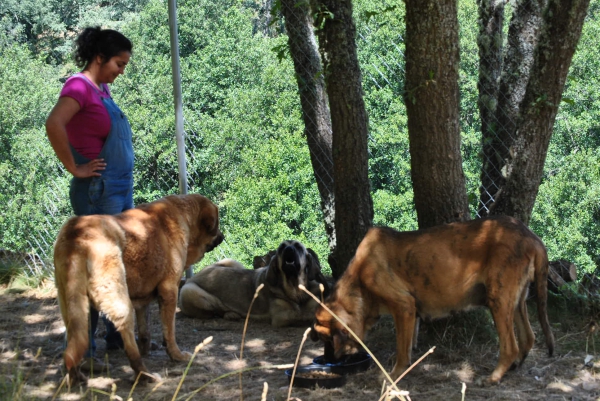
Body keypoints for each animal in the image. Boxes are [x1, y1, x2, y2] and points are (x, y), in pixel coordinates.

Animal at [53, 194, 223, 382]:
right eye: (217, 224)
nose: (222, 236)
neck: (184, 215)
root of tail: (76, 236)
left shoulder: (143, 299)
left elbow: (144, 331)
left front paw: (147, 349)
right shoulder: (169, 290)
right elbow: (169, 331)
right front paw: (176, 355)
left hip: (75, 306)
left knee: (74, 341)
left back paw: (76, 376)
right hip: (119, 300)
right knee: (128, 340)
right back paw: (144, 374)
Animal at [179, 239, 328, 326]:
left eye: (298, 247)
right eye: (281, 248)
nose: (288, 250)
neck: (295, 288)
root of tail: (192, 277)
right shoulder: (281, 316)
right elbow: (304, 315)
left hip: (231, 262)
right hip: (189, 292)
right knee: (213, 311)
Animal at [312, 216, 556, 384]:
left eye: (327, 339)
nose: (326, 360)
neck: (359, 280)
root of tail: (531, 236)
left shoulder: (403, 307)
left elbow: (401, 350)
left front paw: (395, 374)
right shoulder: (412, 314)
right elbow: (409, 342)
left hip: (498, 300)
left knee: (510, 346)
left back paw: (493, 377)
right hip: (516, 301)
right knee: (528, 337)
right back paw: (514, 367)